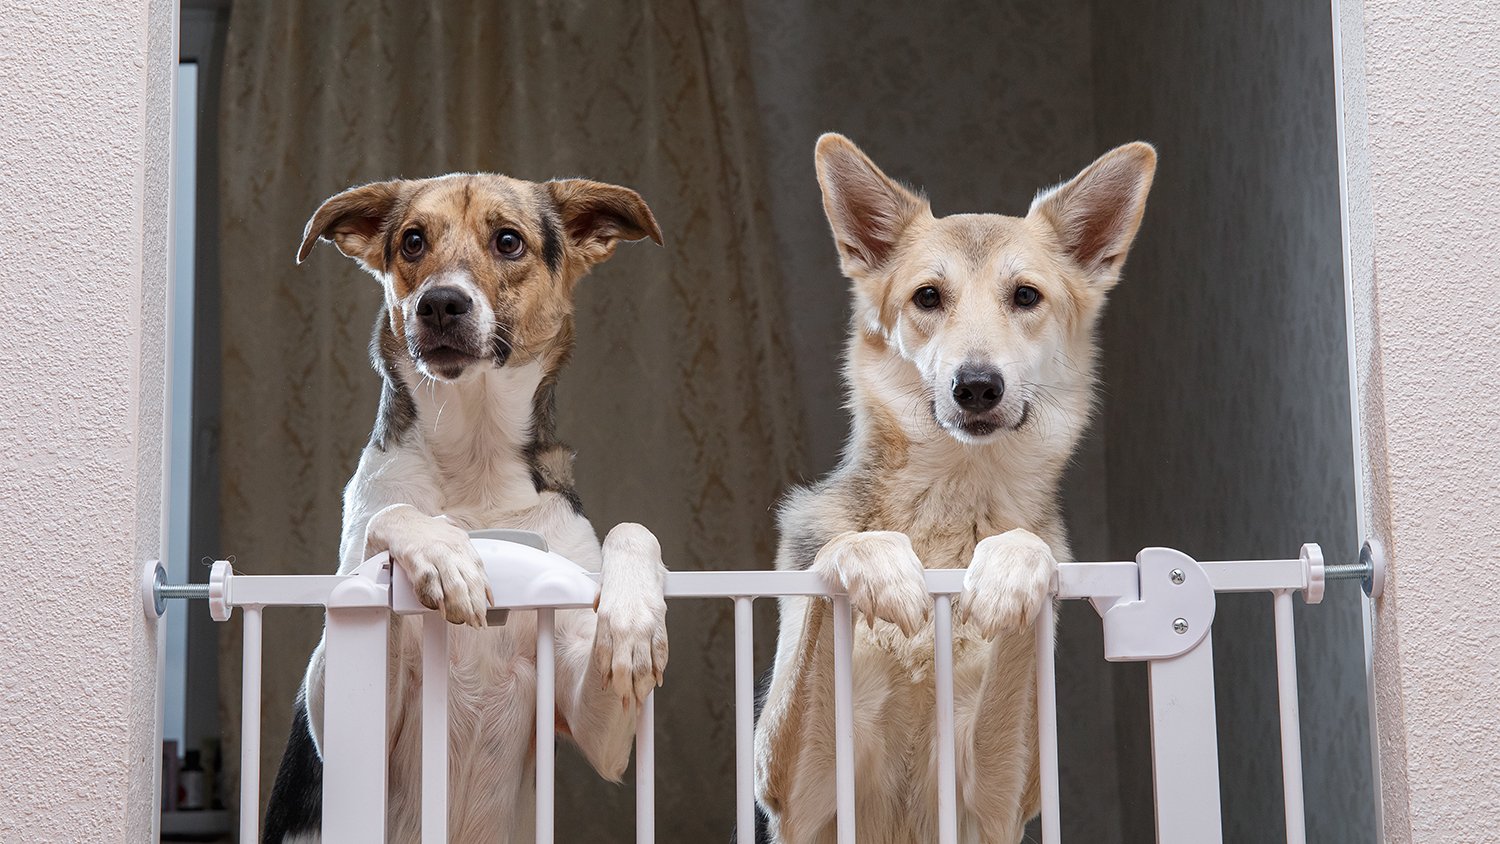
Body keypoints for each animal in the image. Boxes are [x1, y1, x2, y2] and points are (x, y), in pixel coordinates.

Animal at [265, 173, 675, 844]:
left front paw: (636, 619)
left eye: (508, 240)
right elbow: (391, 516)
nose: (439, 304)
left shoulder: (595, 720)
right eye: (412, 241)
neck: (475, 460)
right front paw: (445, 556)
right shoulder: (340, 716)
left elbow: (633, 531)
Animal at [750, 135, 1158, 839]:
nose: (976, 386)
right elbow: (842, 552)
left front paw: (1010, 572)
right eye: (927, 298)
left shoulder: (1000, 793)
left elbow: (1026, 555)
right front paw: (878, 562)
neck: (952, 501)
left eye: (1026, 296)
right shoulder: (795, 784)